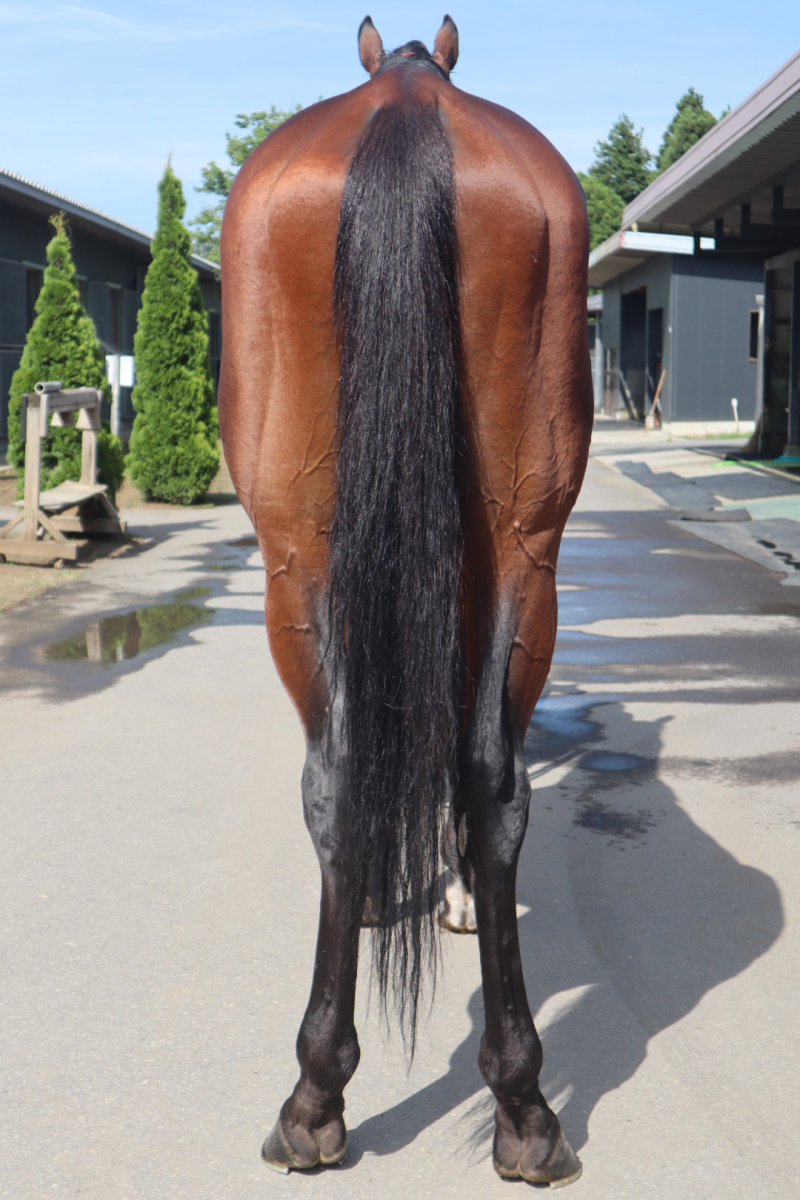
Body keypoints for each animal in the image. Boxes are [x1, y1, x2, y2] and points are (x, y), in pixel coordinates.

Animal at [218, 14, 592, 1187]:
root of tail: (406, 106)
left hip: (296, 561)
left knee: (342, 776)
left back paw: (314, 1099)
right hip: (520, 548)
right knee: (488, 778)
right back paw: (523, 1106)